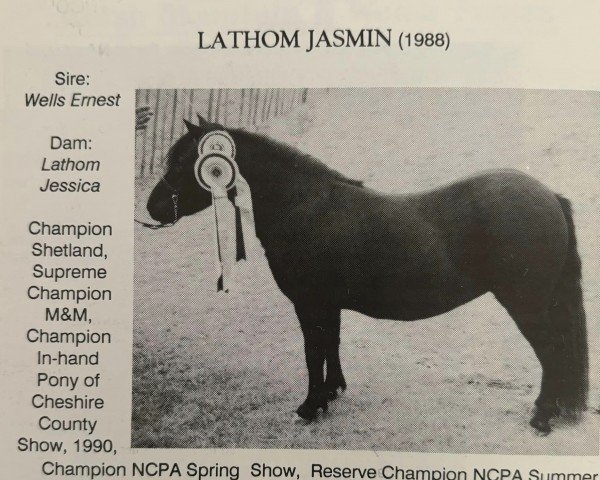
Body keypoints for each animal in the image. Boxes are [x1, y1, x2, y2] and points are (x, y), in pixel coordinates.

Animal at [146, 117, 592, 436]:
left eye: (184, 162)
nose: (153, 208)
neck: (304, 207)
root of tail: (549, 196)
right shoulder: (327, 305)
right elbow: (331, 345)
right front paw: (331, 395)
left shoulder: (309, 304)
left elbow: (313, 353)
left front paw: (309, 407)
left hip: (526, 303)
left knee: (552, 351)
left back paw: (542, 417)